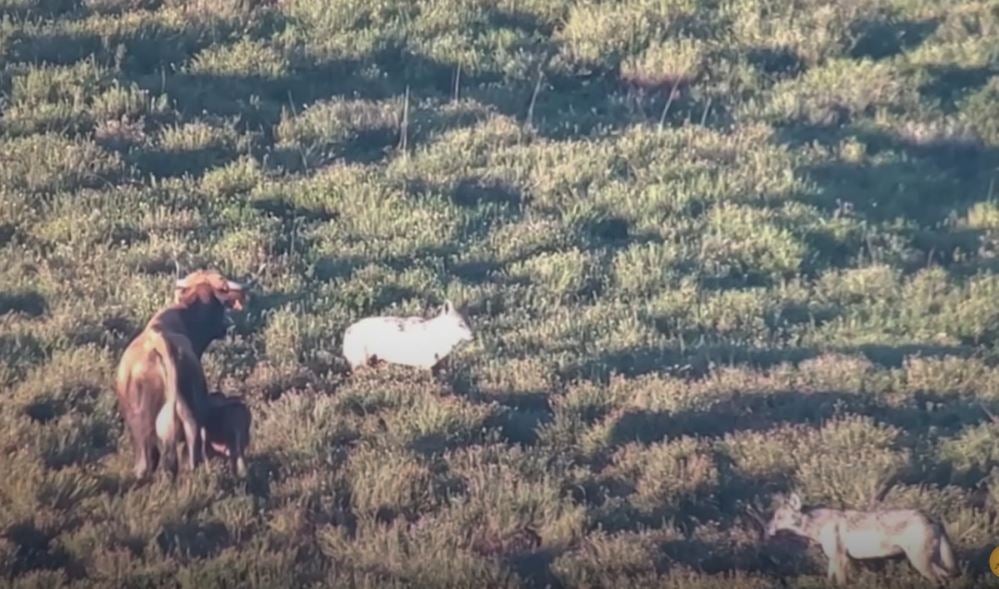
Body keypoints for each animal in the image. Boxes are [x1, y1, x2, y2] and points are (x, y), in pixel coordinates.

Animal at [764, 492, 959, 585]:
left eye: (779, 517)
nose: (767, 528)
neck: (818, 525)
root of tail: (932, 517)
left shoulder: (840, 559)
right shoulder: (834, 560)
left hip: (920, 562)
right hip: (928, 562)